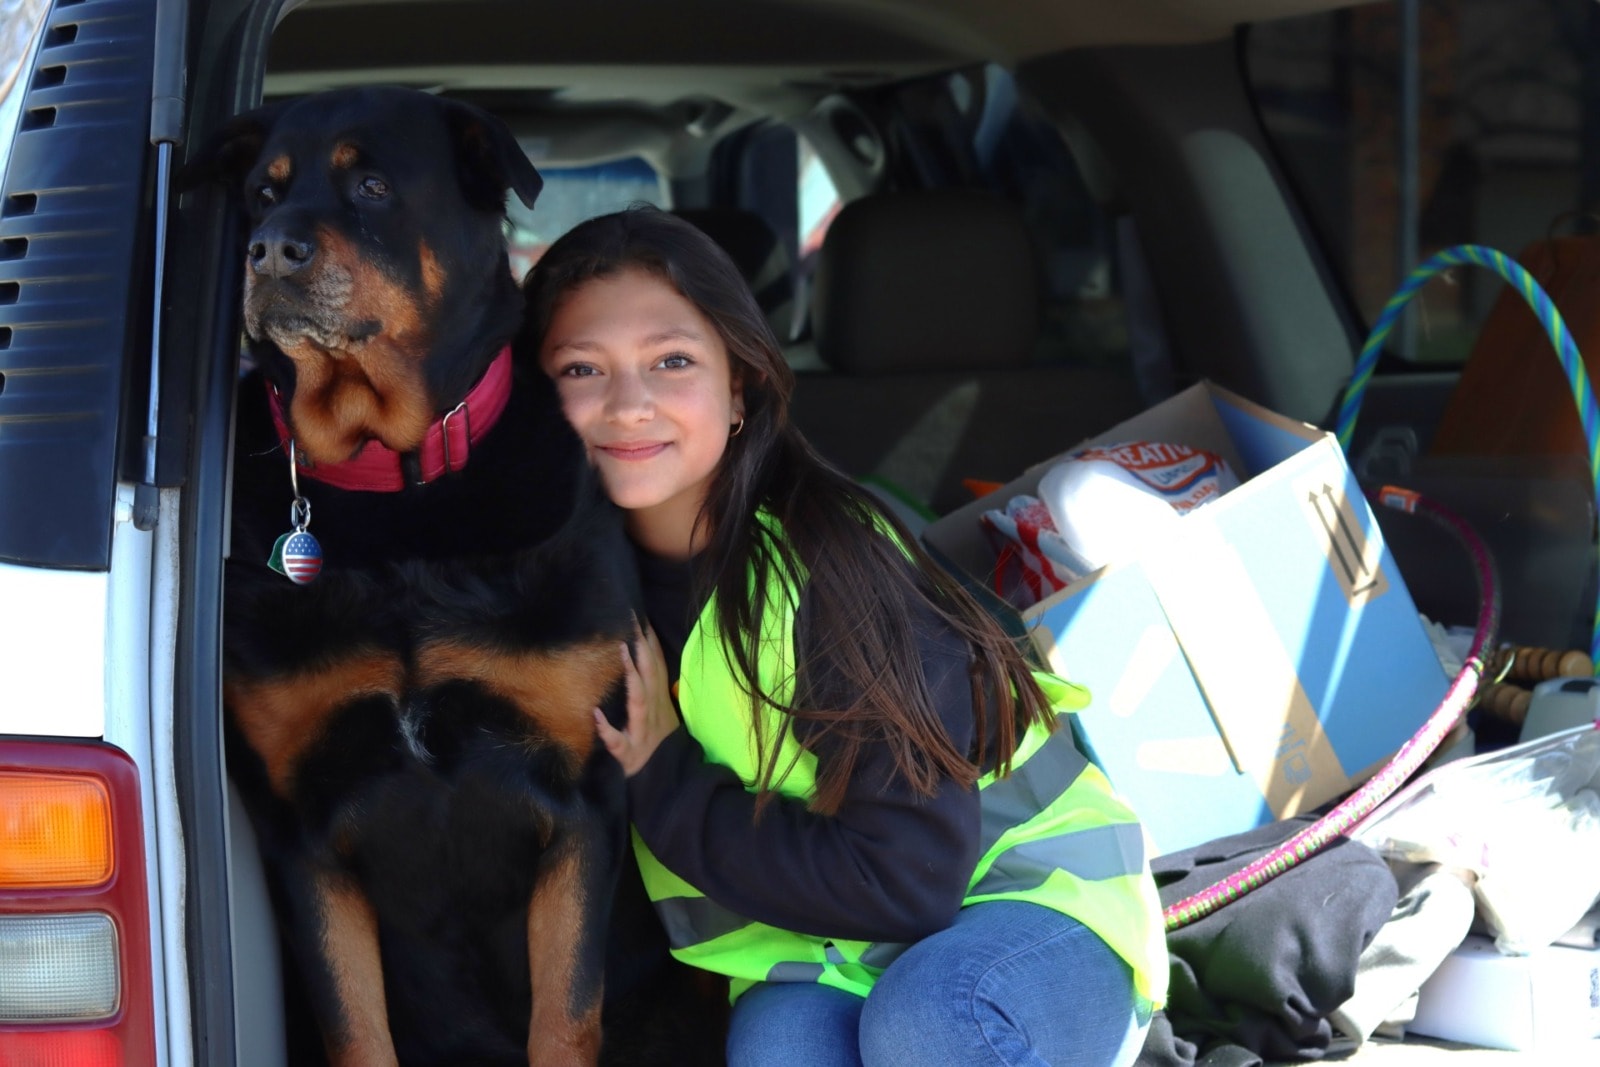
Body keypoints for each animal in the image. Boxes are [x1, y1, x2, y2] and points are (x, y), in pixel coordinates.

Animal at [184, 89, 723, 1067]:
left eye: (371, 186)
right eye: (260, 194)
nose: (269, 249)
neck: (397, 483)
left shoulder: (582, 797)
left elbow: (565, 1014)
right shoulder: (302, 831)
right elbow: (355, 1025)